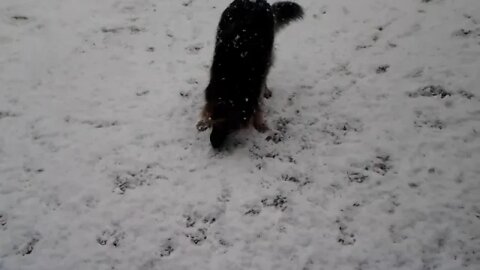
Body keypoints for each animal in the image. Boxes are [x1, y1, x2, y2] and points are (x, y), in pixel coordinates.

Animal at [196, 0, 302, 149]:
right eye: (213, 121)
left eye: (231, 126)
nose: (214, 144)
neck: (231, 80)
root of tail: (256, 1)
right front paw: (203, 121)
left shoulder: (254, 88)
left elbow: (257, 105)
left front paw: (260, 125)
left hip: (268, 52)